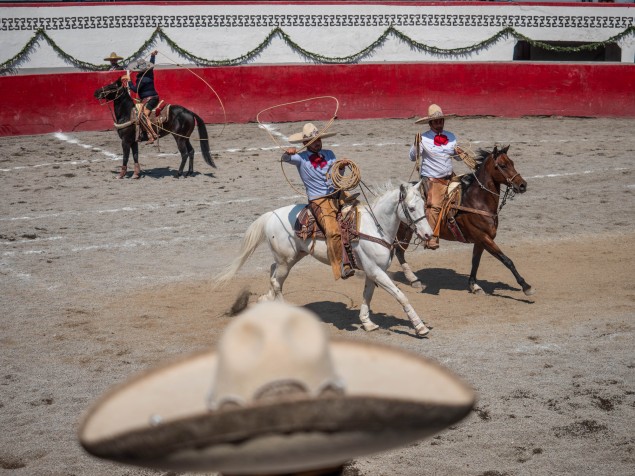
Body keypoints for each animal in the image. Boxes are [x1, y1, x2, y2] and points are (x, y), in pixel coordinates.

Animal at [216, 181, 434, 334]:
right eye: (411, 208)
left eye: (424, 205)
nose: (428, 234)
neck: (374, 227)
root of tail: (271, 215)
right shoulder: (376, 271)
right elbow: (400, 295)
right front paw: (419, 327)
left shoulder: (372, 272)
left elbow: (367, 295)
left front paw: (367, 322)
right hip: (286, 260)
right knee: (277, 281)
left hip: (292, 257)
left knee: (273, 273)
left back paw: (267, 299)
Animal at [396, 143, 536, 296]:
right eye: (502, 165)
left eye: (512, 163)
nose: (522, 185)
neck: (476, 201)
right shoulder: (484, 237)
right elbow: (507, 260)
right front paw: (526, 286)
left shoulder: (480, 241)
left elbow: (475, 262)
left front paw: (474, 286)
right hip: (403, 232)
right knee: (399, 252)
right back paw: (413, 279)